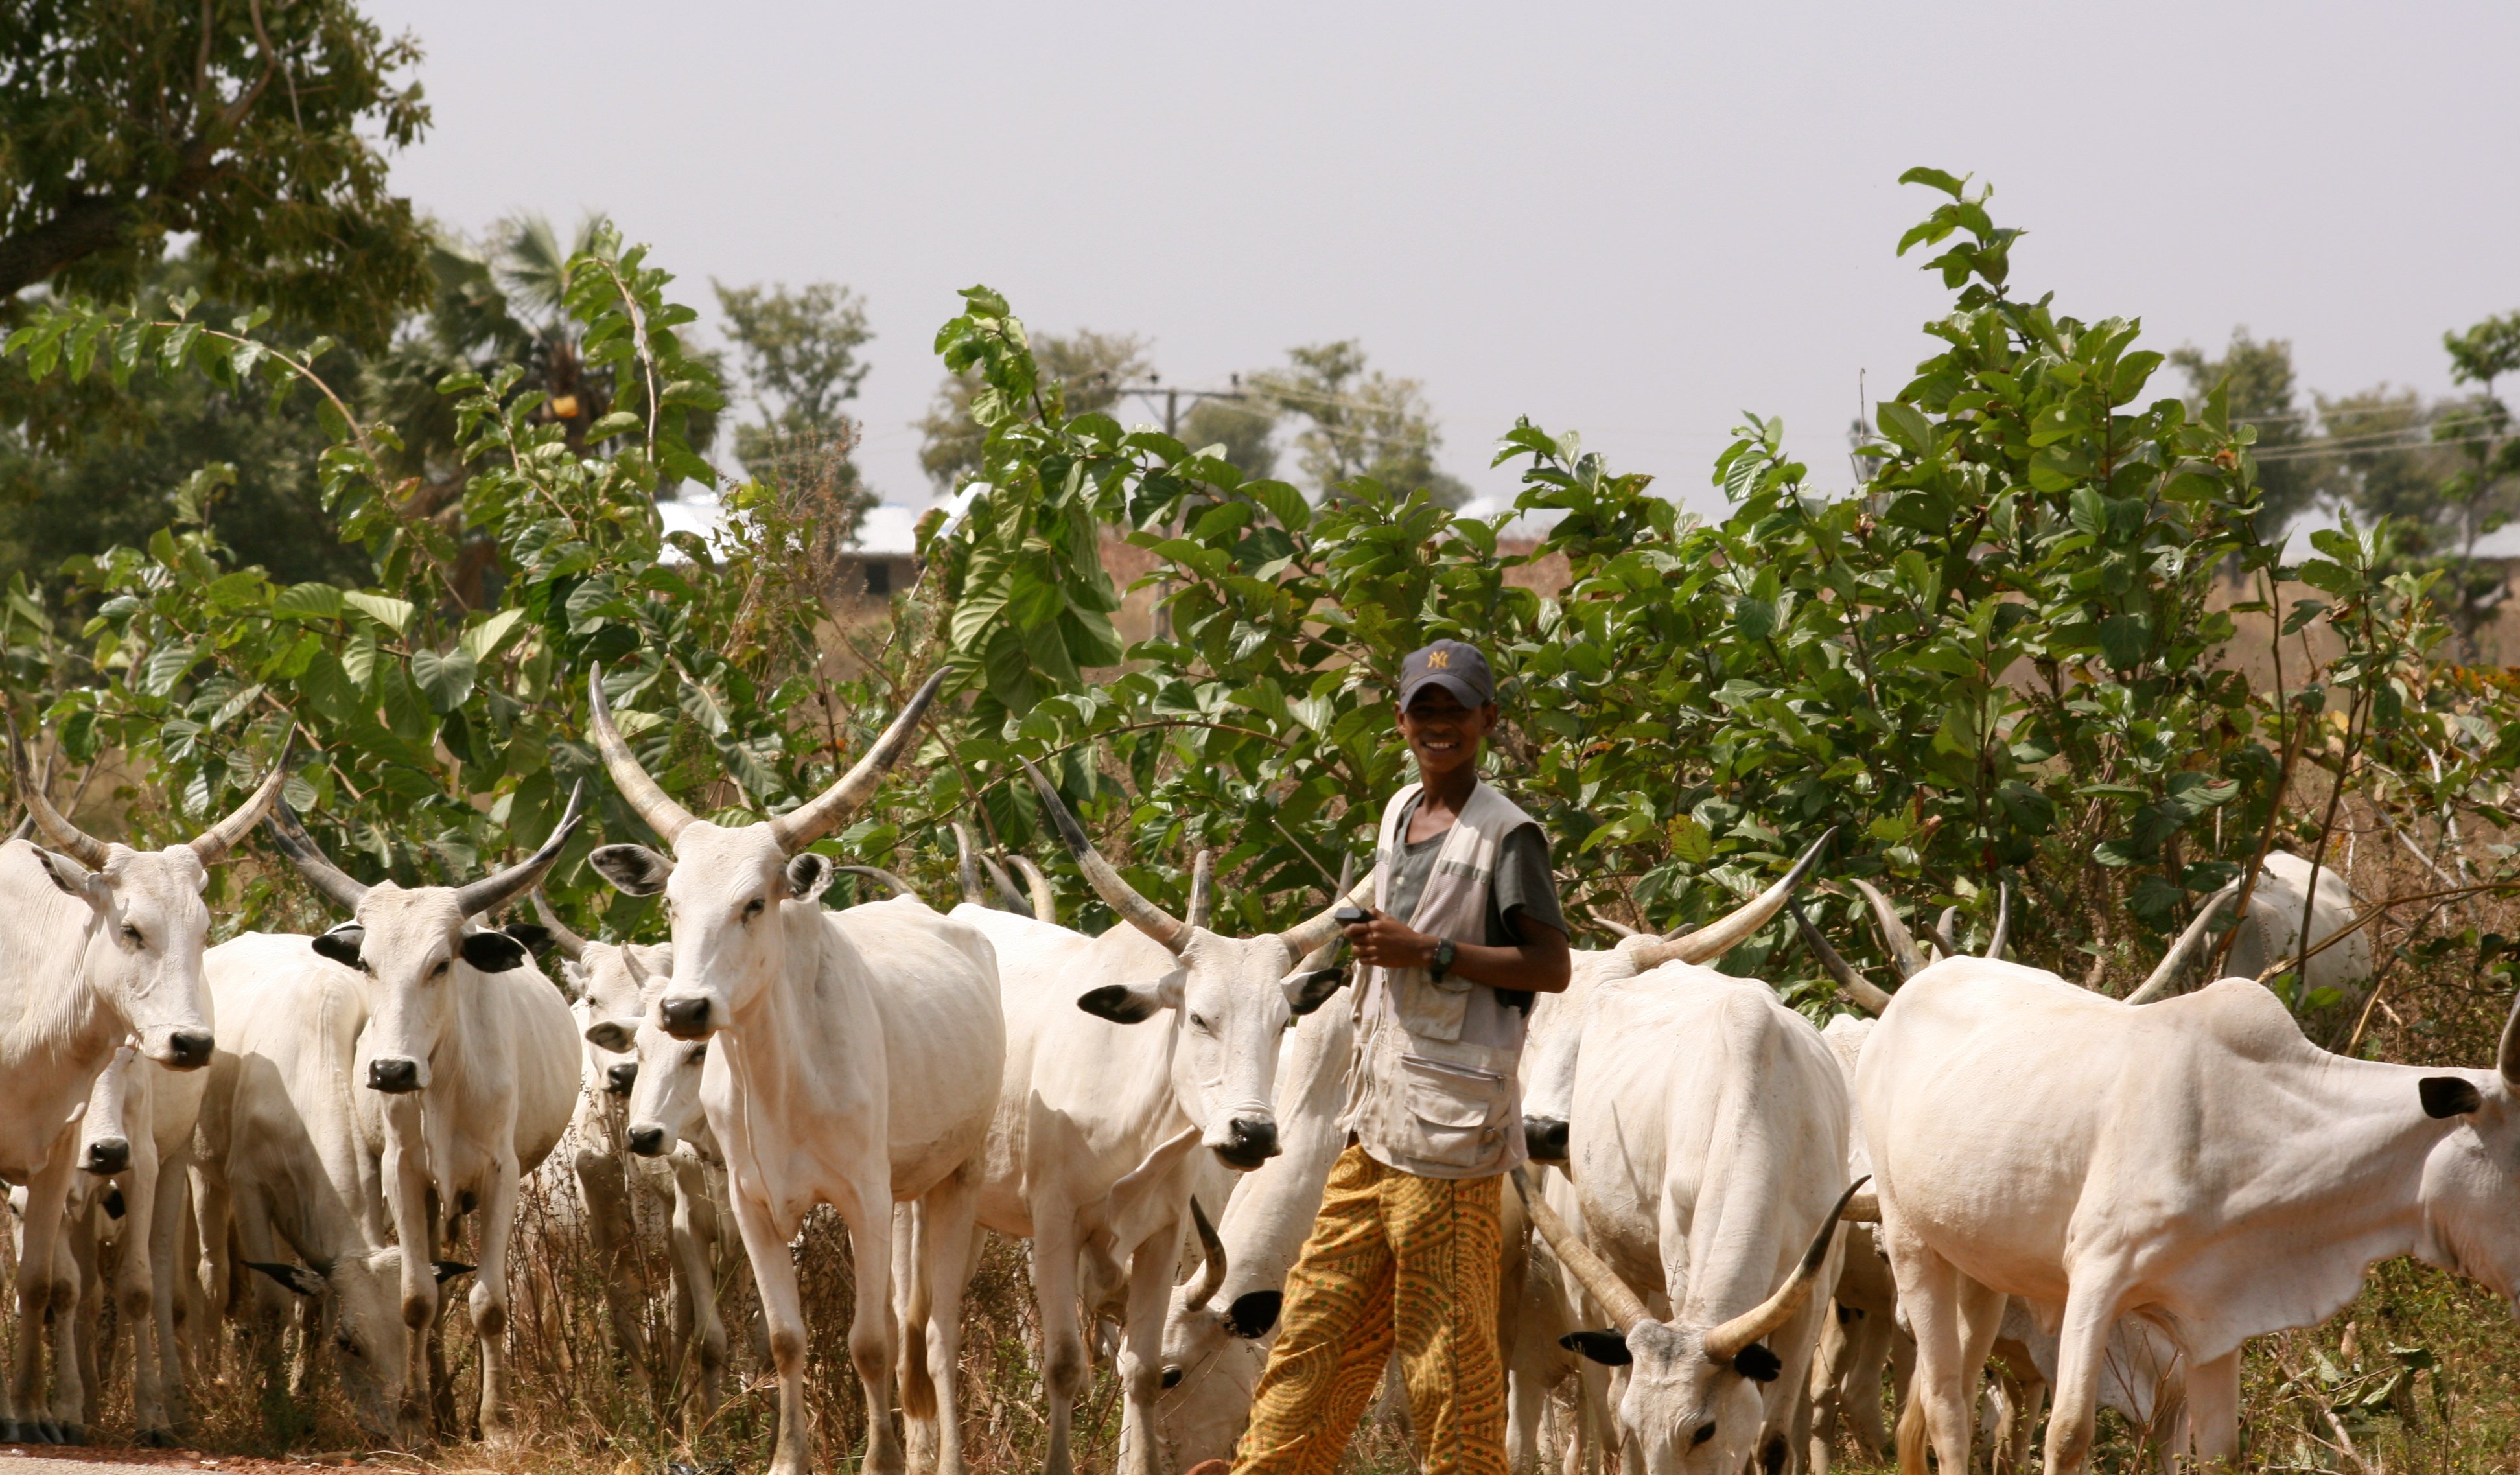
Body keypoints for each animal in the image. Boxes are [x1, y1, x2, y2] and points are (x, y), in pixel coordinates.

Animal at [2, 721, 287, 1442]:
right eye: (130, 928)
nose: (192, 1043)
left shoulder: (63, 1157)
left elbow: (42, 1282)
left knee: (154, 1278)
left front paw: (32, 1413)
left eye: (204, 929)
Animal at [263, 786, 582, 1432]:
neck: (444, 1082)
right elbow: (416, 1299)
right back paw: (438, 1406)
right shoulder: (403, 1172)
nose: (391, 1071)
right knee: (432, 1291)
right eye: (367, 963)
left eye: (441, 964)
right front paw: (415, 1408)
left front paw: (496, 1423)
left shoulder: (502, 1175)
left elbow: (489, 1303)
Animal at [587, 666, 1003, 1472]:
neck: (778, 1080)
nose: (683, 1006)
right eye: (672, 904)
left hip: (957, 1178)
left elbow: (868, 1343)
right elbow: (784, 1338)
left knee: (936, 1334)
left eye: (755, 902)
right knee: (914, 1323)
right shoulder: (749, 1202)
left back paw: (943, 1455)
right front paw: (788, 1456)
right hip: (908, 1188)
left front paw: (879, 1461)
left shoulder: (863, 1197)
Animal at [1865, 953, 2520, 1472]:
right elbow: (2069, 1433)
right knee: (1947, 1407)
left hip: (1982, 1272)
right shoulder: (2097, 1275)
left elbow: (2220, 1453)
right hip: (1908, 1240)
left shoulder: (2217, 1317)